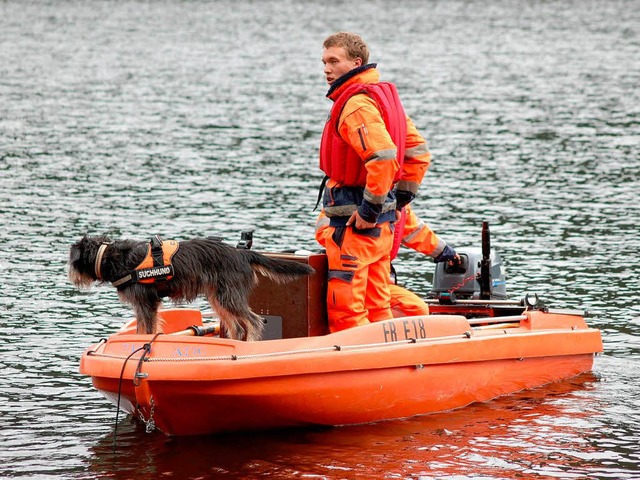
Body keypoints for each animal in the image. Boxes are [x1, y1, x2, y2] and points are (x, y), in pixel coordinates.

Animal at [67, 234, 312, 340]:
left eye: (71, 259)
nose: (69, 275)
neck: (109, 256)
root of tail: (242, 253)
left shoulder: (146, 302)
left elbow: (146, 329)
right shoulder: (144, 304)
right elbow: (144, 328)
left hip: (228, 296)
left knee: (254, 321)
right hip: (218, 297)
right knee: (237, 327)